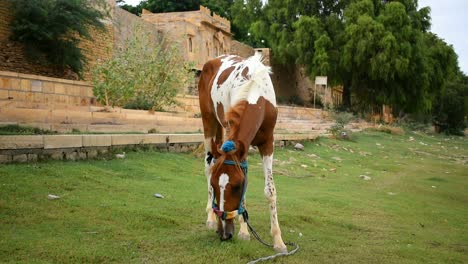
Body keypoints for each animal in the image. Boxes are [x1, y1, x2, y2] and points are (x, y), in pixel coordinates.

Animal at [197, 53, 288, 252]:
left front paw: (278, 240)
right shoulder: (241, 146)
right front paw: (245, 232)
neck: (256, 93)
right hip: (208, 121)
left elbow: (270, 190)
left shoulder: (267, 143)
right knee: (208, 165)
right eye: (214, 186)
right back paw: (210, 217)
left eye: (236, 186)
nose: (224, 233)